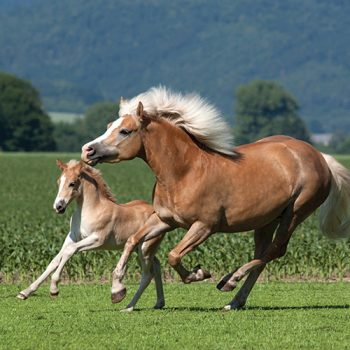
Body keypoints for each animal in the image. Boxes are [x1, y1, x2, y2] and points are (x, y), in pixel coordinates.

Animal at [18, 160, 166, 310]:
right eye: (59, 181)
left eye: (72, 183)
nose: (58, 206)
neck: (91, 210)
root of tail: (159, 213)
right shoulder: (72, 237)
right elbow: (55, 260)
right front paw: (25, 292)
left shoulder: (97, 240)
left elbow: (69, 251)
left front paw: (54, 288)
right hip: (141, 250)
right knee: (157, 266)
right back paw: (159, 303)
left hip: (144, 249)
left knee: (147, 275)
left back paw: (127, 305)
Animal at [80, 87, 350, 308]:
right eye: (108, 125)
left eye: (125, 131)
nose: (87, 150)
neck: (185, 171)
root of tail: (319, 156)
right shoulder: (165, 220)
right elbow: (132, 240)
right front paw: (117, 290)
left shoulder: (204, 226)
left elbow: (173, 255)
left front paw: (199, 274)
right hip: (266, 221)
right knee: (264, 253)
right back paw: (234, 300)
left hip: (295, 213)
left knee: (276, 250)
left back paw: (229, 280)